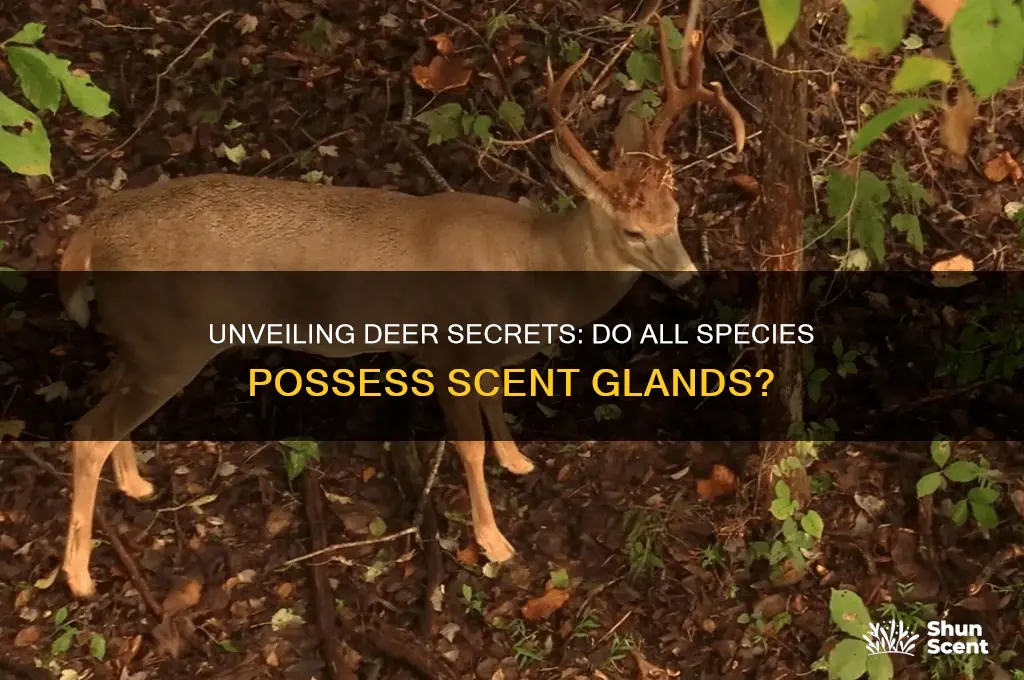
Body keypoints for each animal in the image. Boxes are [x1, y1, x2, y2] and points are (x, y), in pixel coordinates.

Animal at [56, 17, 744, 599]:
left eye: (675, 212)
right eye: (632, 231)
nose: (687, 278)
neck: (534, 274)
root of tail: (93, 228)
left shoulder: (483, 356)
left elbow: (497, 410)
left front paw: (517, 459)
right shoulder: (441, 351)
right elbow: (467, 447)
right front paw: (493, 540)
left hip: (146, 341)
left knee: (108, 394)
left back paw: (137, 484)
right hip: (173, 345)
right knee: (87, 430)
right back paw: (80, 577)